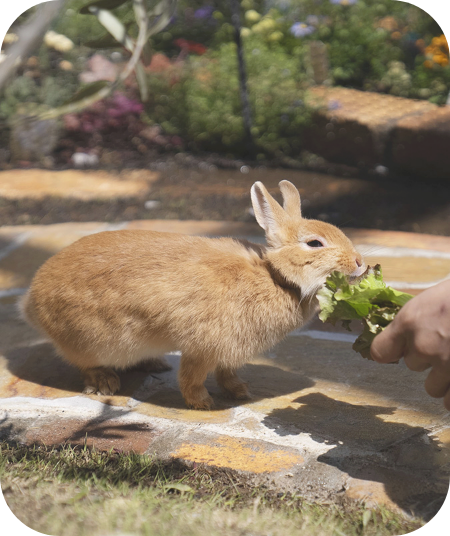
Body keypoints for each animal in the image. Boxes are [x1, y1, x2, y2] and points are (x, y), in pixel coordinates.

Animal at [18, 181, 366, 410]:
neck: (274, 277)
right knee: (84, 363)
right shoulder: (203, 347)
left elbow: (227, 373)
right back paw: (105, 383)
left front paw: (240, 391)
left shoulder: (228, 352)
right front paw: (203, 404)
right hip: (90, 340)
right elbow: (192, 377)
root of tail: (31, 302)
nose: (360, 262)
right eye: (315, 243)